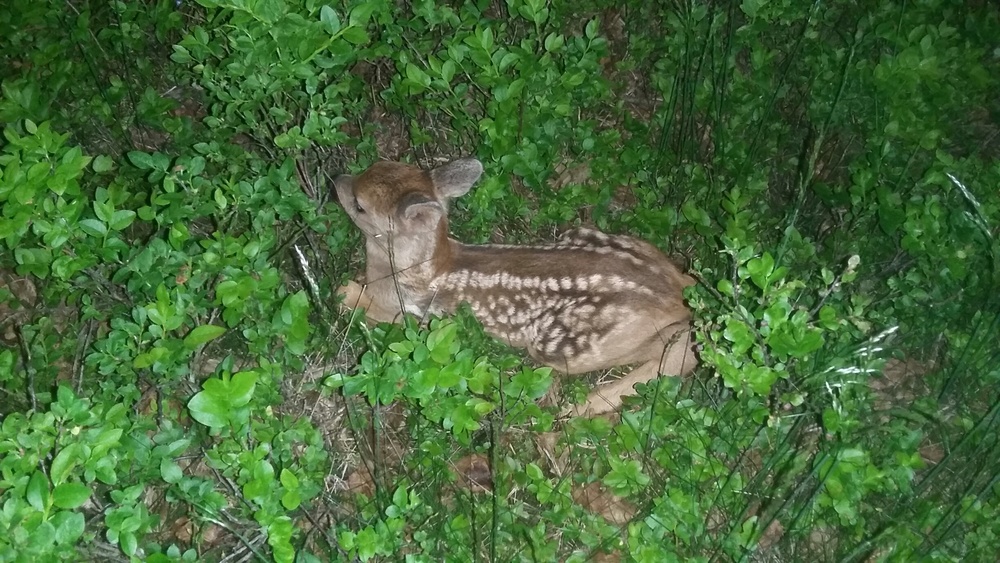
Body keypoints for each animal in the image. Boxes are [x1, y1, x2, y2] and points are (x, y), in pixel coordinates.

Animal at [332, 156, 700, 416]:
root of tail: (674, 295)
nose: (336, 178)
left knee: (679, 353)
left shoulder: (407, 313)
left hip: (565, 344)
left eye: (360, 205)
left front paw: (344, 291)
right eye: (374, 165)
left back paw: (582, 408)